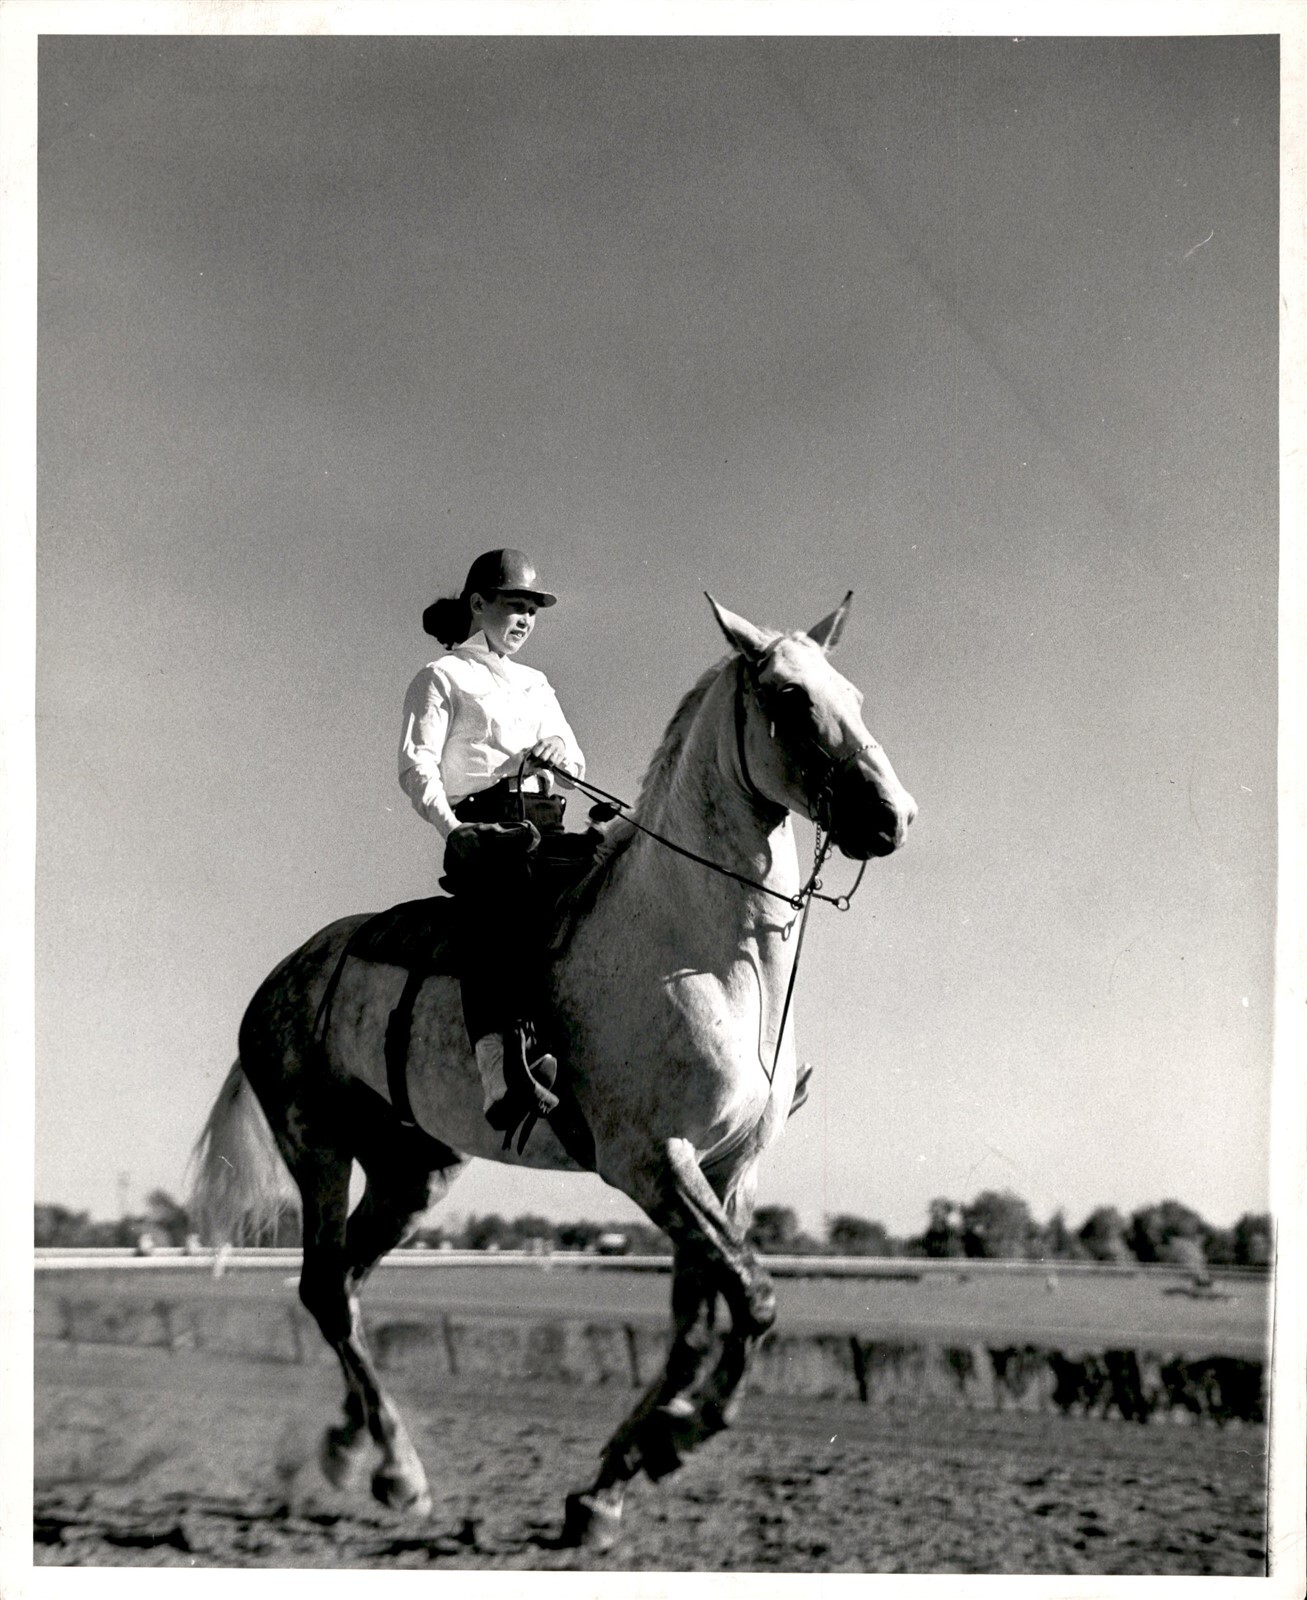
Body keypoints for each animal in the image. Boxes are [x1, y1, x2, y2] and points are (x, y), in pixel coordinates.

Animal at [188, 592, 917, 1551]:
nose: (893, 817)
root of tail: (285, 973)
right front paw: (674, 1439)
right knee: (325, 1290)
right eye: (789, 699)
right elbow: (754, 1301)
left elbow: (696, 1322)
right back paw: (399, 1470)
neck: (706, 956)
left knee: (344, 1282)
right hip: (317, 1146)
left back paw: (353, 1451)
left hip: (412, 1170)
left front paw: (606, 1487)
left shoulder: (726, 1172)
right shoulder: (651, 1164)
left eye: (853, 694)